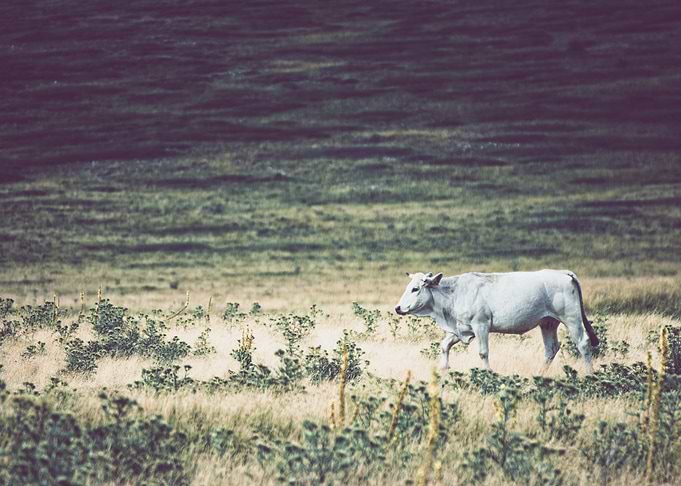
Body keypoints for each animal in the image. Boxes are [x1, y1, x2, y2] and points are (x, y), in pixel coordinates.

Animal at [394, 270, 599, 373]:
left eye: (415, 289)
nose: (398, 308)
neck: (454, 292)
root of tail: (564, 273)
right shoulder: (461, 329)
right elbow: (444, 345)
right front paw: (444, 367)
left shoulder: (481, 325)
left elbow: (483, 353)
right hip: (547, 323)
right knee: (550, 349)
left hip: (571, 319)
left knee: (583, 343)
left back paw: (588, 374)